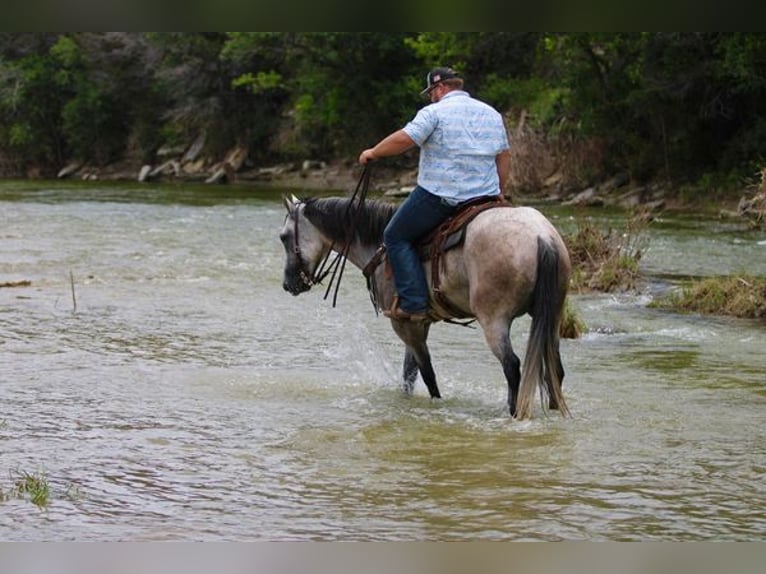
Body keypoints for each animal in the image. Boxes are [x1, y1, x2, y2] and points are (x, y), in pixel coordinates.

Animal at [279, 194, 571, 419]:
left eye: (283, 237)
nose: (288, 284)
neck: (379, 247)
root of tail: (542, 237)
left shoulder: (403, 324)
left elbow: (427, 373)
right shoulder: (416, 322)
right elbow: (409, 374)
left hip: (494, 321)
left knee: (511, 366)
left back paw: (513, 412)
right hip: (553, 316)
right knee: (555, 369)